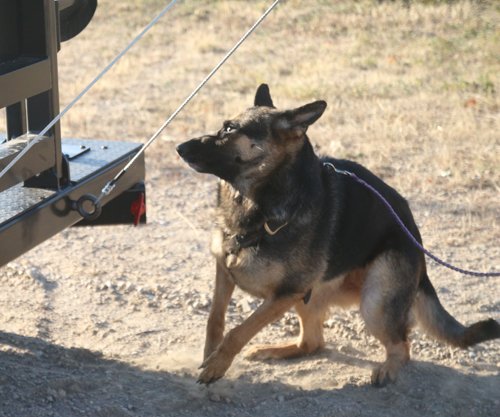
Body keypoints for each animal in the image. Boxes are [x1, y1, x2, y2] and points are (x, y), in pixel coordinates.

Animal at [176, 84, 500, 386]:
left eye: (230, 129)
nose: (179, 147)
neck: (257, 203)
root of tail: (418, 247)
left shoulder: (287, 292)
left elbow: (238, 330)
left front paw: (218, 364)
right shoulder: (226, 271)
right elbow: (215, 320)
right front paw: (210, 357)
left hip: (373, 301)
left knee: (402, 347)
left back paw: (387, 370)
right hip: (311, 297)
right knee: (312, 342)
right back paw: (277, 350)